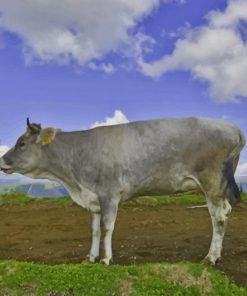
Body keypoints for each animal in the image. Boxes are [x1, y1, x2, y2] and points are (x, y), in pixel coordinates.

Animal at [0, 117, 245, 264]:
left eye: (21, 143)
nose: (2, 160)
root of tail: (232, 127)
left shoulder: (109, 194)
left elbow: (107, 228)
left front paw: (106, 259)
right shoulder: (93, 199)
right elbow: (94, 230)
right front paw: (90, 257)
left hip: (212, 183)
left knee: (218, 217)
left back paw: (210, 258)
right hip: (220, 186)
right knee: (226, 211)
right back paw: (216, 255)